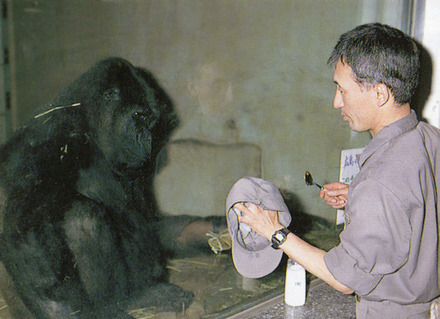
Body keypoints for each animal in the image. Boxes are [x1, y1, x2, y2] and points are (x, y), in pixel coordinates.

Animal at [0, 58, 199, 319]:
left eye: (151, 121)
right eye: (138, 116)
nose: (146, 141)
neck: (88, 124)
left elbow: (149, 219)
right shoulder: (53, 138)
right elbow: (24, 232)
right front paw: (62, 311)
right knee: (84, 217)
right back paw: (115, 306)